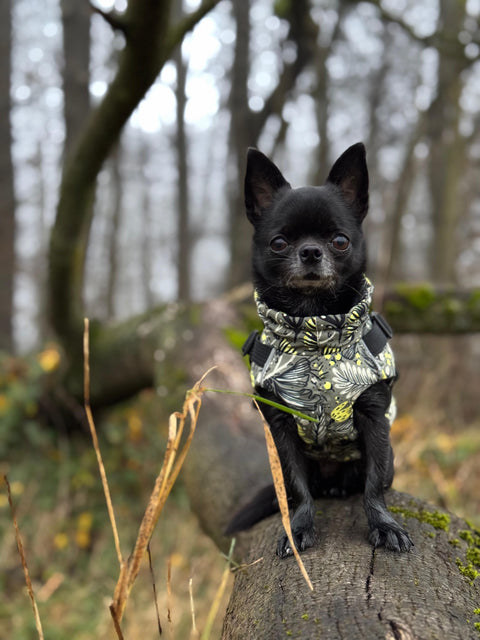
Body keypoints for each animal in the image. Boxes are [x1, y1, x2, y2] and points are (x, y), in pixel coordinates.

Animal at [228, 142, 412, 556]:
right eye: (279, 243)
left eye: (340, 241)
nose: (311, 252)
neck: (315, 333)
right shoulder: (281, 428)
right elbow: (296, 487)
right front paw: (299, 527)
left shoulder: (374, 421)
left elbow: (374, 485)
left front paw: (383, 525)